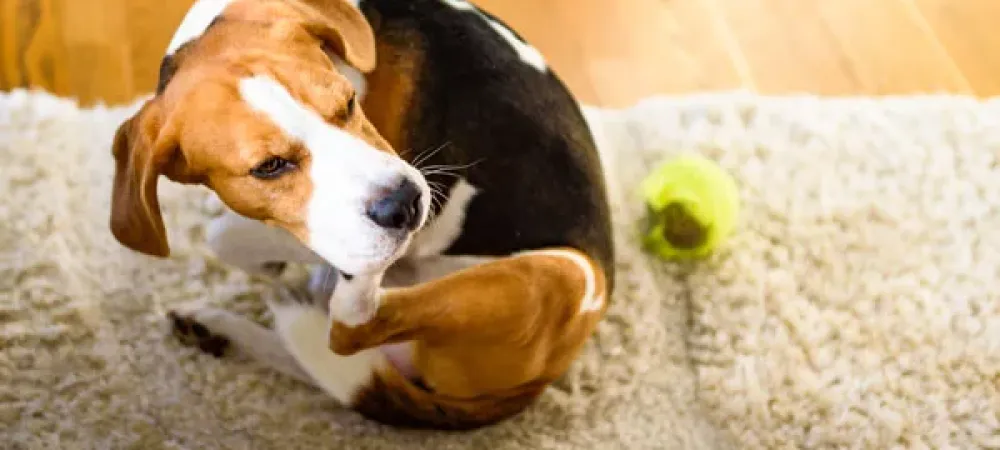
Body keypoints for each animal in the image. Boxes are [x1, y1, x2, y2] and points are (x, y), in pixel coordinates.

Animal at [107, 0, 608, 430]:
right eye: (269, 166)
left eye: (349, 103)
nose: (405, 204)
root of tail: (538, 381)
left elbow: (228, 236)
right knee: (333, 359)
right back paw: (217, 327)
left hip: (567, 273)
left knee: (349, 327)